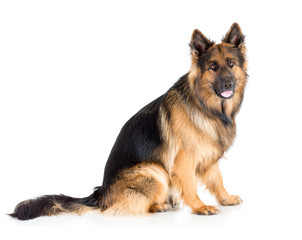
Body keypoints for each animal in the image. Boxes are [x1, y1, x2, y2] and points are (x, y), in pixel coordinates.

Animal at [10, 22, 248, 219]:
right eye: (213, 67)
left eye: (231, 64)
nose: (228, 84)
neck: (206, 106)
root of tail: (101, 194)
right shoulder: (183, 162)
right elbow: (190, 186)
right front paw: (200, 207)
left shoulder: (209, 156)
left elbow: (217, 180)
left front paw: (226, 198)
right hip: (154, 171)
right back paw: (160, 205)